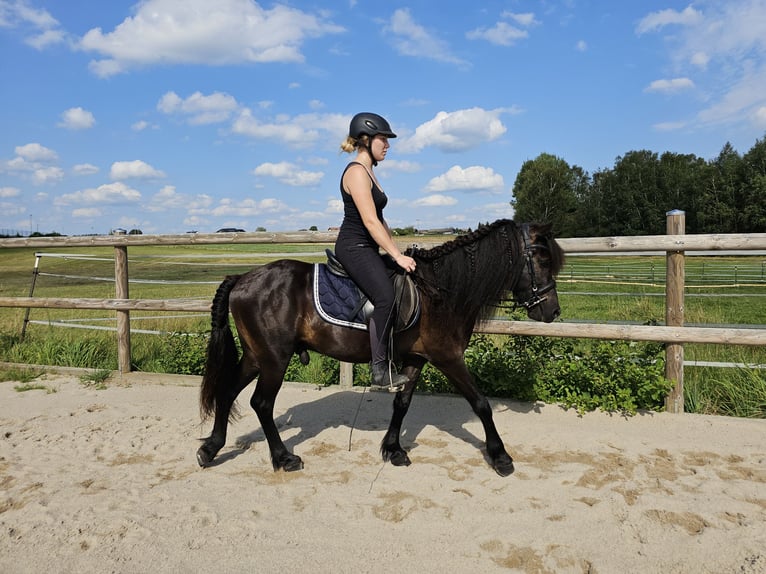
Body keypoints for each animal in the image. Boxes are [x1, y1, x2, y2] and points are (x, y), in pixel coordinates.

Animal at [198, 220, 564, 476]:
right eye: (542, 258)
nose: (552, 312)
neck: (440, 291)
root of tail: (242, 278)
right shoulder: (448, 357)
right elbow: (481, 404)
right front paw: (500, 456)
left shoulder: (417, 358)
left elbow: (401, 404)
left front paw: (393, 449)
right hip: (274, 359)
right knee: (261, 403)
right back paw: (284, 457)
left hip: (256, 356)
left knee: (228, 391)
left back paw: (211, 448)